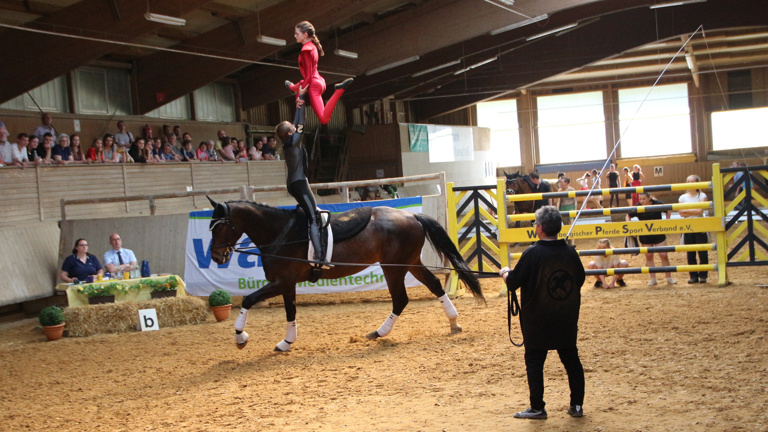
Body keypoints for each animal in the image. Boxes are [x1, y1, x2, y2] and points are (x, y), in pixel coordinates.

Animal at [204, 197, 480, 352]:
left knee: (401, 299)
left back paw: (379, 333)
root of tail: (412, 214)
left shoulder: (281, 282)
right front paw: (286, 343)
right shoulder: (287, 284)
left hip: (393, 267)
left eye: (219, 227)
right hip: (409, 262)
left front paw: (240, 337)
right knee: (434, 285)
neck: (281, 232)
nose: (217, 257)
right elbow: (290, 312)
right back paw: (454, 322)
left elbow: (249, 299)